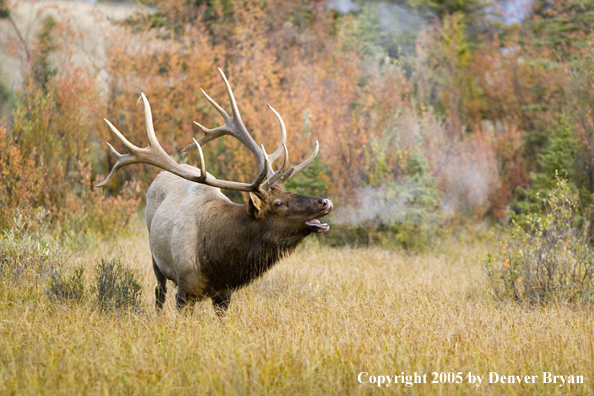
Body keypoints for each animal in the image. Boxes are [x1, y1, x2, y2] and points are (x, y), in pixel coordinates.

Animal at [95, 69, 330, 314]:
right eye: (279, 204)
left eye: (288, 193)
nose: (324, 202)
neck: (219, 263)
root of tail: (158, 177)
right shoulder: (185, 290)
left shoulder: (225, 293)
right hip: (155, 257)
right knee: (159, 292)